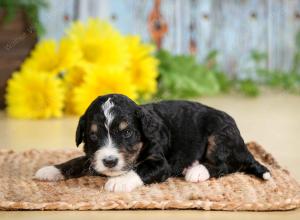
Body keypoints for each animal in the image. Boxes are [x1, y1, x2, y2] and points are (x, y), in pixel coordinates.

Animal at [34, 93, 270, 192]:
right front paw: (51, 169)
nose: (109, 161)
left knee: (226, 165)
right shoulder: (92, 156)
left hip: (219, 134)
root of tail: (243, 145)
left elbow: (141, 169)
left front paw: (119, 182)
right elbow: (77, 160)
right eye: (93, 136)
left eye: (127, 132)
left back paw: (196, 170)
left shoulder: (159, 162)